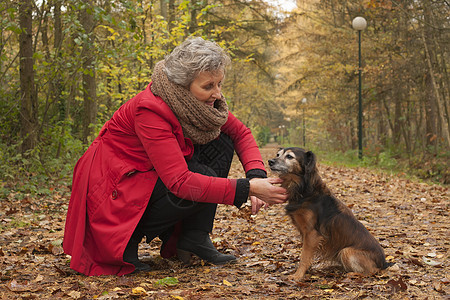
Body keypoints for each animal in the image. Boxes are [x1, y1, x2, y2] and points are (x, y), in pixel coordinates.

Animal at [268, 148, 390, 282]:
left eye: (289, 156)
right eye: (278, 154)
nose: (270, 161)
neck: (305, 190)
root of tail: (383, 263)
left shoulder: (312, 234)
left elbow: (304, 256)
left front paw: (298, 275)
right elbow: (307, 255)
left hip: (346, 251)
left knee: (373, 271)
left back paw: (353, 274)